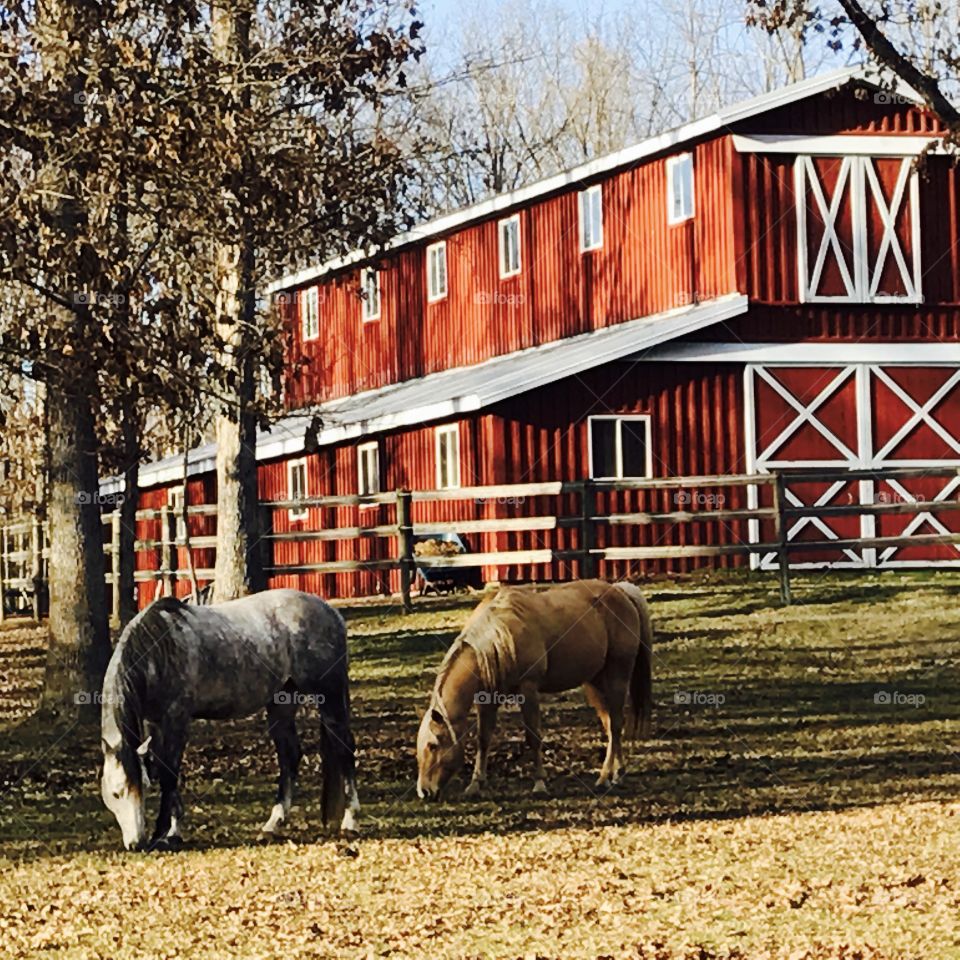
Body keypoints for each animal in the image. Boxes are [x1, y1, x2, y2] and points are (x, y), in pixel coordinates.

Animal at [99, 589, 359, 850]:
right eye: (116, 793)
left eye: (140, 788)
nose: (137, 843)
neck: (159, 650)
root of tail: (331, 612)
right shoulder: (155, 722)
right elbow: (163, 769)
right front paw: (172, 831)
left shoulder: (176, 719)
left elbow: (169, 773)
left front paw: (163, 834)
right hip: (282, 703)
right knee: (290, 757)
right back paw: (271, 826)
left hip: (330, 697)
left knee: (344, 749)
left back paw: (350, 823)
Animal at [416, 579, 653, 800]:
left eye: (433, 745)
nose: (424, 792)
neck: (497, 637)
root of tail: (621, 591)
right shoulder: (487, 698)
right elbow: (483, 740)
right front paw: (475, 784)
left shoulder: (528, 690)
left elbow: (533, 737)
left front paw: (539, 784)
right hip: (595, 683)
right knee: (611, 725)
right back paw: (617, 772)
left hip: (617, 677)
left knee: (616, 725)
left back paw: (604, 778)